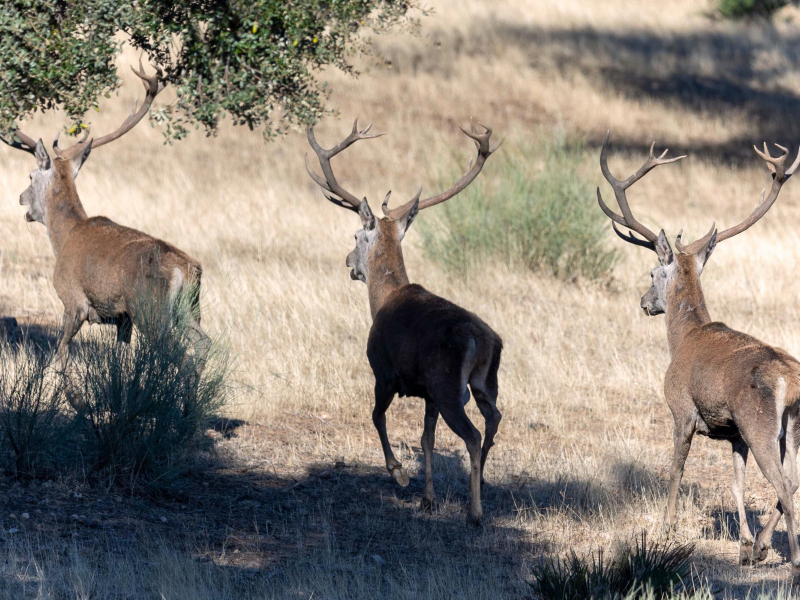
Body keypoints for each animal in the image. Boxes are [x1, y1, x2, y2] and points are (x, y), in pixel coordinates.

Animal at [0, 63, 211, 406]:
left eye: (30, 176)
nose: (20, 199)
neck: (64, 237)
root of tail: (186, 269)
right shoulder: (122, 318)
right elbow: (120, 362)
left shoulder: (72, 299)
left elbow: (60, 355)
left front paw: (76, 400)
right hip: (190, 308)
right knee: (204, 344)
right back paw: (191, 410)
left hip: (151, 309)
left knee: (178, 354)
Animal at [304, 119, 500, 524]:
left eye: (356, 235)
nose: (348, 262)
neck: (382, 301)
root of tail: (482, 340)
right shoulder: (426, 393)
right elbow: (426, 439)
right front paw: (428, 498)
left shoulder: (384, 371)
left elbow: (376, 416)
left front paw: (398, 473)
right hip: (483, 382)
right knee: (494, 420)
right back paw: (484, 483)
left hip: (447, 383)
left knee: (472, 434)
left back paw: (475, 512)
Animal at [596, 132, 800, 568]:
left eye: (652, 273)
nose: (643, 302)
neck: (683, 338)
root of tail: (789, 382)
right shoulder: (734, 434)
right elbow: (737, 484)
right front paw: (743, 543)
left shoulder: (681, 407)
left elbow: (676, 468)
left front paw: (666, 527)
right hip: (791, 425)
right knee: (792, 481)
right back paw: (762, 546)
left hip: (760, 423)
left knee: (784, 485)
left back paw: (790, 559)